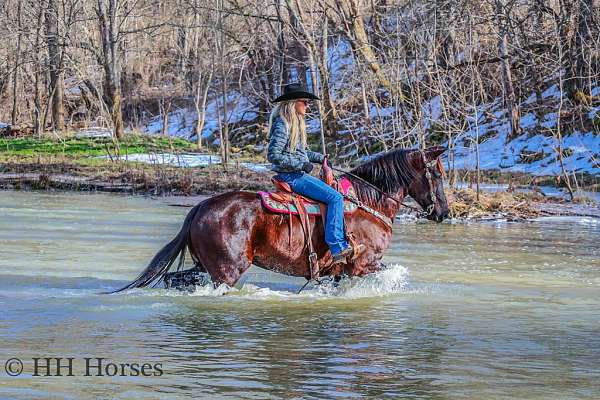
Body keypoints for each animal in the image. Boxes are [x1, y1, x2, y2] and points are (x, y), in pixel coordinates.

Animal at [115, 146, 448, 290]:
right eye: (436, 175)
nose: (443, 212)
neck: (368, 203)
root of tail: (201, 207)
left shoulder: (342, 272)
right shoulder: (364, 264)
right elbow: (391, 272)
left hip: (205, 266)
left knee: (176, 279)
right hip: (226, 270)